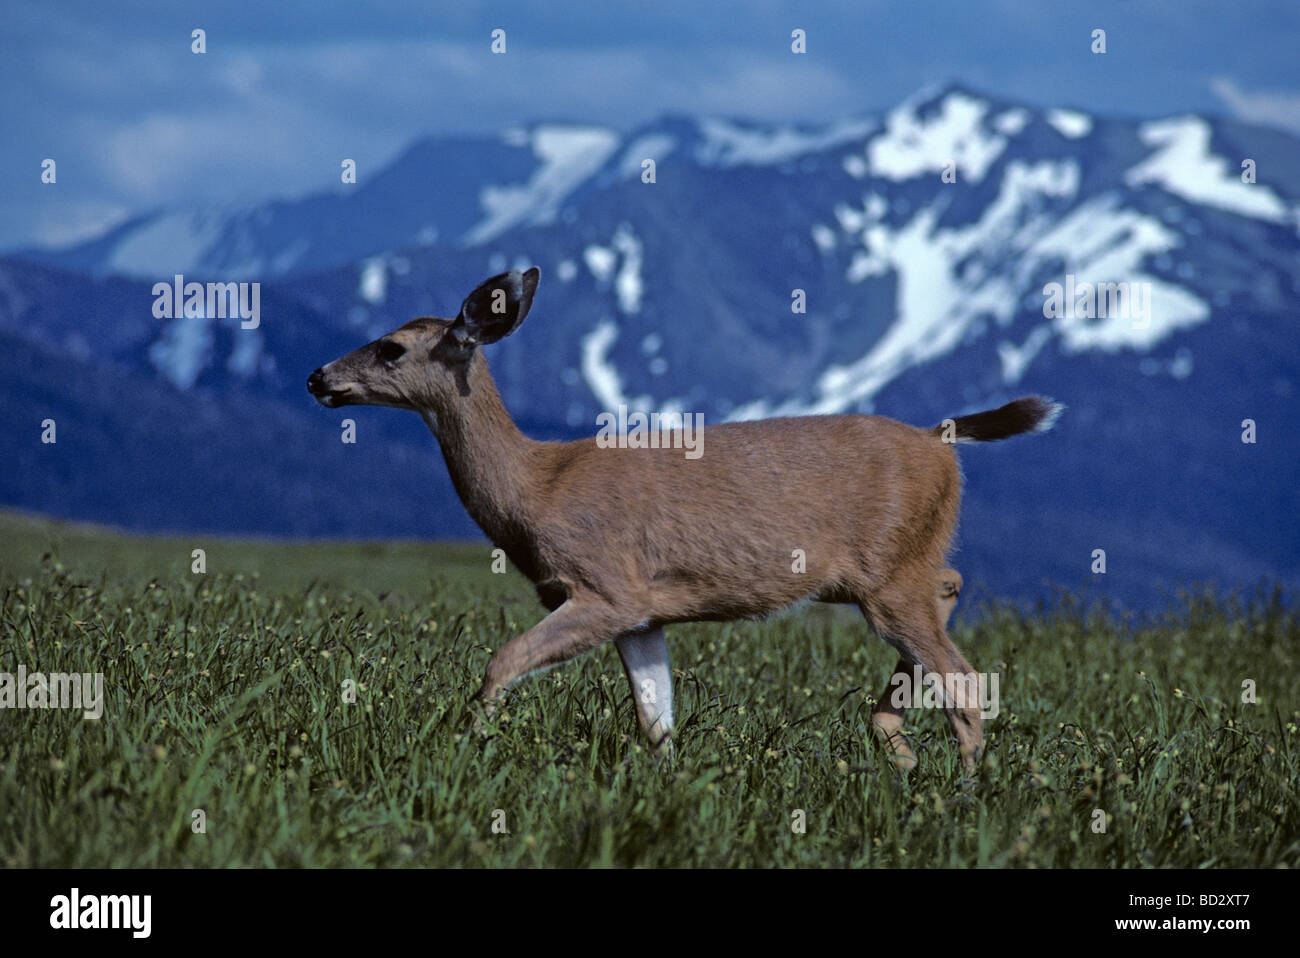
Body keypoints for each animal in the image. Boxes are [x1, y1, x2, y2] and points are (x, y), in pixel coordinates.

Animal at [308, 267, 1060, 772]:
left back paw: (958, 789)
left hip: (890, 571)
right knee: (951, 589)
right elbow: (656, 718)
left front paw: (469, 748)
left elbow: (500, 663)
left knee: (965, 678)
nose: (318, 378)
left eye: (391, 348)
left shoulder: (606, 586)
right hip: (891, 570)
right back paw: (895, 745)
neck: (535, 486)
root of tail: (942, 442)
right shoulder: (644, 614)